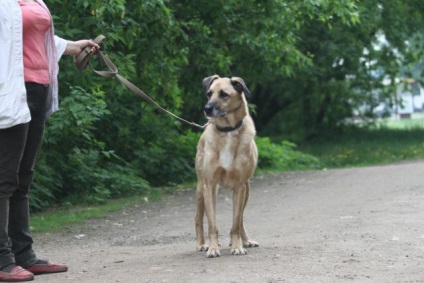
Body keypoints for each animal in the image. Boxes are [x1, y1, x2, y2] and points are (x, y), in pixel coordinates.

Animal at [195, 74, 258, 258]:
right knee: (198, 218)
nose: (207, 109)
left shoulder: (240, 186)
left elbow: (236, 222)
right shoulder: (209, 186)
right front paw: (213, 248)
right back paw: (201, 244)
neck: (228, 131)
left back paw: (246, 241)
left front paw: (237, 246)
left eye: (224, 94)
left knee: (241, 218)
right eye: (209, 93)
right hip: (201, 190)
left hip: (247, 191)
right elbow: (212, 224)